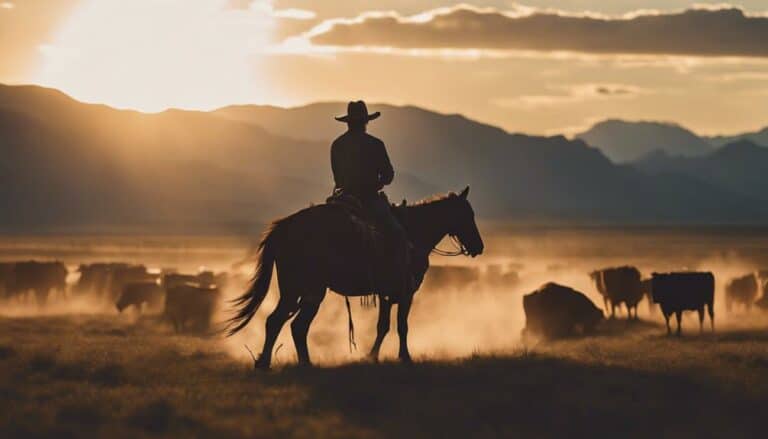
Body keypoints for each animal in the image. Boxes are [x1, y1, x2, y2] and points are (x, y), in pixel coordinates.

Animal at [225, 187, 484, 370]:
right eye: (467, 215)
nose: (479, 247)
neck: (413, 232)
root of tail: (284, 226)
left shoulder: (386, 294)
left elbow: (383, 326)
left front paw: (372, 356)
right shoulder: (406, 292)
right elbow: (401, 326)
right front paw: (404, 357)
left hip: (301, 292)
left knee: (287, 324)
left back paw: (284, 362)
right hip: (304, 291)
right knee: (286, 323)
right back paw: (282, 362)